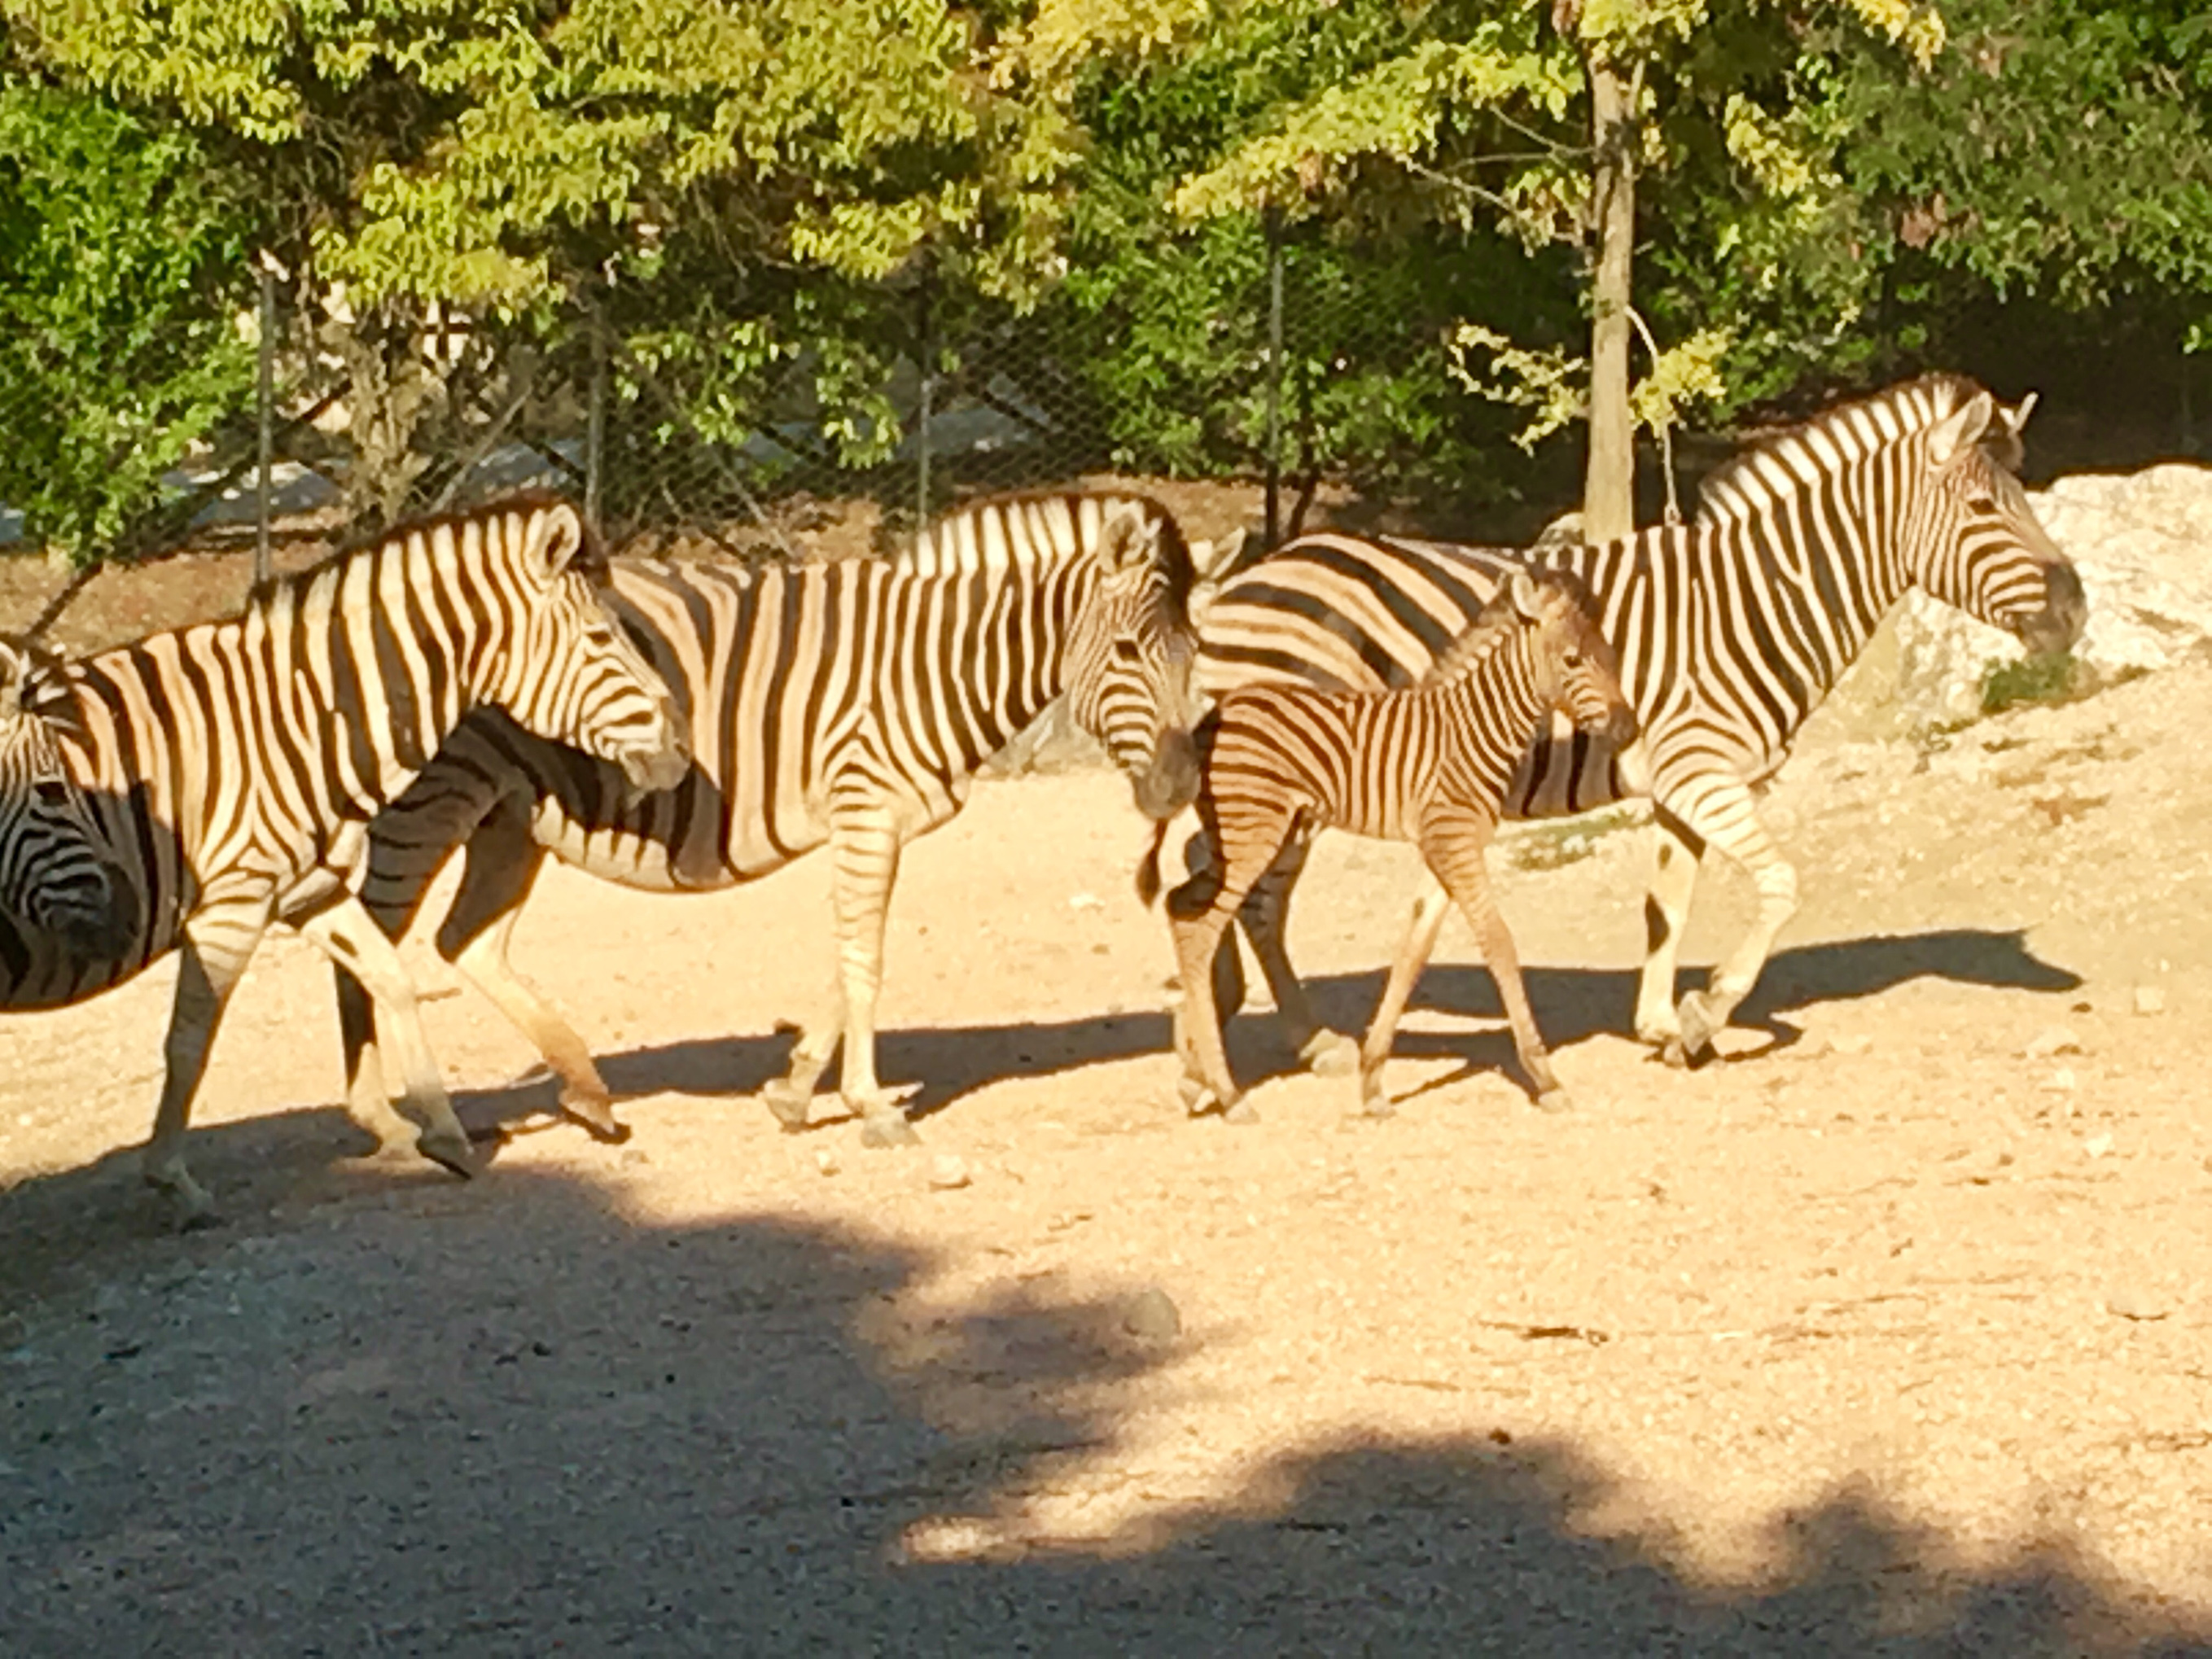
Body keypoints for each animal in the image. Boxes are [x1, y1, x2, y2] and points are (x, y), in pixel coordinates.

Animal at [335, 486, 1203, 1150]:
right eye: (1127, 652)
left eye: (1193, 652)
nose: (1179, 787)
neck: (932, 661)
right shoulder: (867, 809)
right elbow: (864, 962)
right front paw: (871, 1106)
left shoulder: (876, 824)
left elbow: (846, 958)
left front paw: (794, 1091)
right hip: (437, 799)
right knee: (370, 938)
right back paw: (385, 1117)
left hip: (513, 814)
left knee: (466, 941)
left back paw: (584, 1090)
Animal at [1141, 566, 1645, 1123]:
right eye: (1573, 660)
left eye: (1612, 655)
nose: (1629, 728)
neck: (1473, 729)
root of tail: (1209, 718)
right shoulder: (1453, 838)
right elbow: (1498, 942)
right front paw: (1545, 1077)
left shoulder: (1446, 844)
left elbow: (1413, 951)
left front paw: (1373, 1081)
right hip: (1253, 833)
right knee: (1201, 926)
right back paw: (1230, 1094)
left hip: (1258, 831)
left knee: (1180, 904)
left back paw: (1199, 1075)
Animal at [1194, 375, 2070, 1070]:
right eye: (1983, 507)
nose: (2075, 610)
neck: (1752, 601)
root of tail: (1248, 578)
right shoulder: (1701, 770)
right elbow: (1780, 885)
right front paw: (1706, 1012)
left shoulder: (1683, 784)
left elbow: (1666, 905)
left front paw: (1660, 1025)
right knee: (1255, 902)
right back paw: (1306, 1040)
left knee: (1222, 885)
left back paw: (1226, 1003)